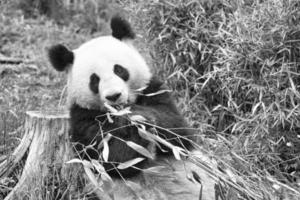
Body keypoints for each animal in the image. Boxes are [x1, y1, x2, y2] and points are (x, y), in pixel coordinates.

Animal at [48, 15, 196, 178]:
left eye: (119, 69)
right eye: (94, 80)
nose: (114, 96)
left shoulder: (151, 89)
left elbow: (178, 129)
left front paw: (139, 116)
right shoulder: (84, 116)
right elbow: (112, 157)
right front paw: (132, 123)